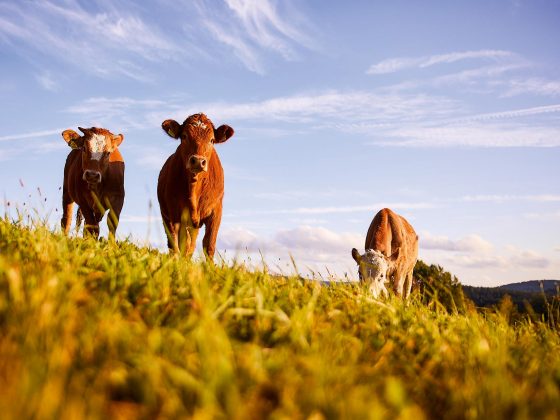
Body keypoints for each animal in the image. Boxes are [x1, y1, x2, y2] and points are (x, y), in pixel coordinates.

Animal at [158, 111, 234, 260]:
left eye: (212, 140)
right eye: (184, 136)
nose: (198, 161)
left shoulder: (216, 211)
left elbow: (209, 245)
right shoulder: (178, 214)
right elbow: (181, 244)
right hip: (166, 216)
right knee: (174, 242)